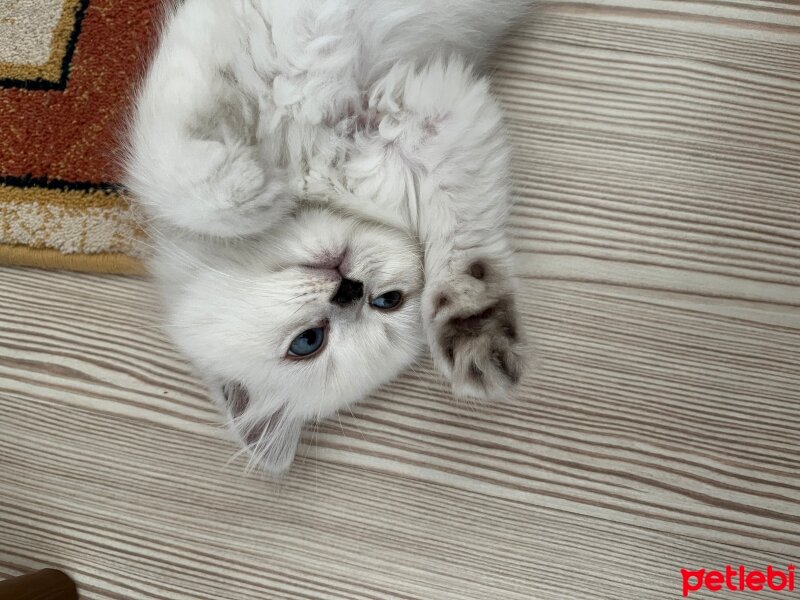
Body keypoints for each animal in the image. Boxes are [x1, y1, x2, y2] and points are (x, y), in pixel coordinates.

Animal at [125, 1, 532, 478]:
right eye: (308, 342)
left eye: (385, 301)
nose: (349, 290)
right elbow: (191, 189)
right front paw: (263, 192)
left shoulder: (433, 124)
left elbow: (463, 248)